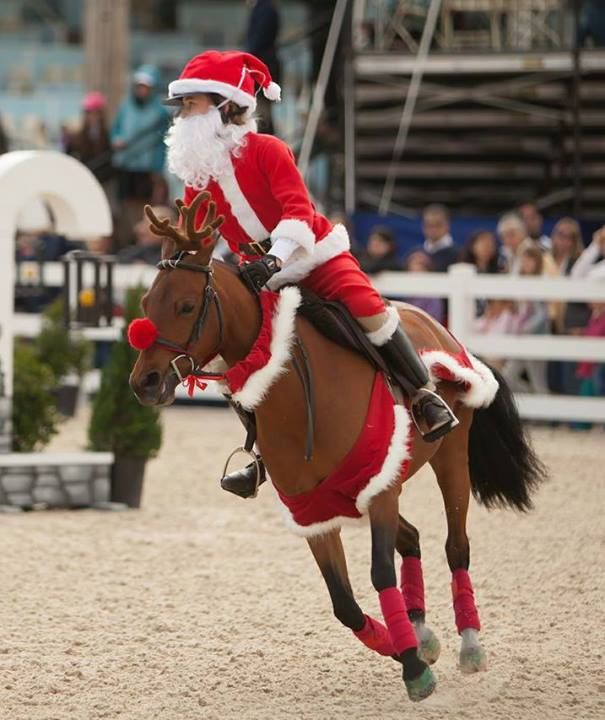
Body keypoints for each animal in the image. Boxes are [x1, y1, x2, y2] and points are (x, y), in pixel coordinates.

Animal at [130, 194, 544, 700]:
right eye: (147, 302)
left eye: (187, 305)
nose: (144, 382)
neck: (295, 390)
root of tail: (438, 325)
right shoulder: (314, 509)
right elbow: (344, 602)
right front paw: (401, 648)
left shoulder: (381, 493)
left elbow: (380, 574)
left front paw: (413, 669)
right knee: (413, 539)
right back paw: (420, 632)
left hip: (448, 461)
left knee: (455, 545)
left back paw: (469, 643)